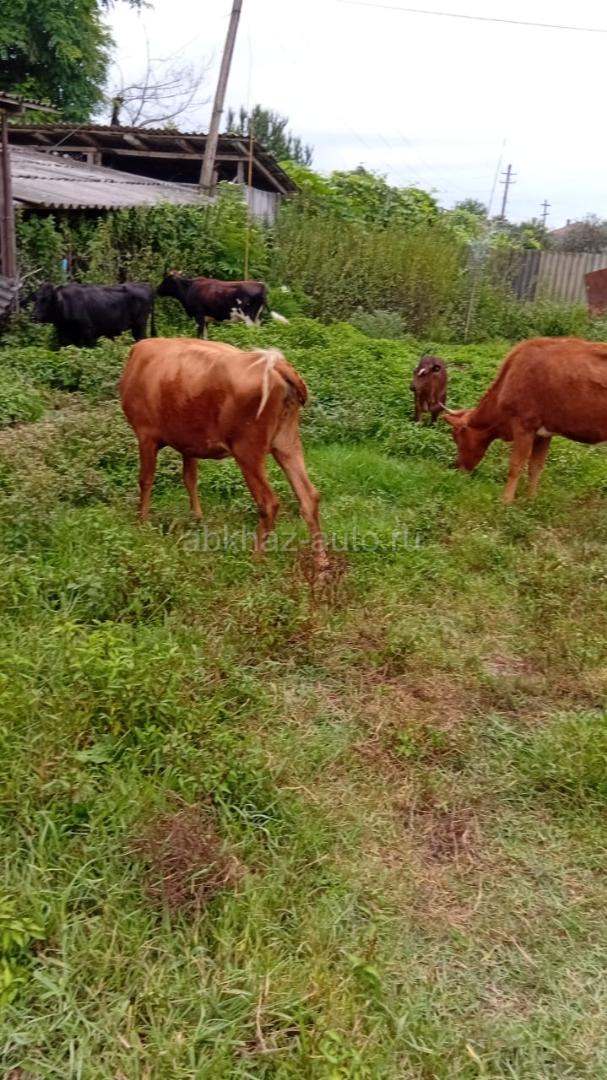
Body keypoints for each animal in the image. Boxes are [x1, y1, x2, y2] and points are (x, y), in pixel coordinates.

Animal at [119, 338, 329, 575]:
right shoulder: (188, 441)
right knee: (309, 496)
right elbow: (190, 478)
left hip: (247, 448)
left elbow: (145, 480)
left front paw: (142, 523)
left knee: (269, 502)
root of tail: (277, 364)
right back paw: (321, 561)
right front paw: (197, 518)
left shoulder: (145, 434)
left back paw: (255, 559)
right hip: (287, 442)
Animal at [156, 271, 288, 338]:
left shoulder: (199, 317)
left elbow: (199, 335)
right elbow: (205, 337)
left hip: (249, 318)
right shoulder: (206, 319)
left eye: (165, 280)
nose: (157, 289)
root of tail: (261, 285)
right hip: (257, 318)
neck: (189, 289)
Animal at [440, 336, 607, 503]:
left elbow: (516, 465)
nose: (457, 468)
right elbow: (535, 466)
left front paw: (506, 501)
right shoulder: (544, 433)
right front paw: (531, 499)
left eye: (456, 437)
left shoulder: (524, 424)